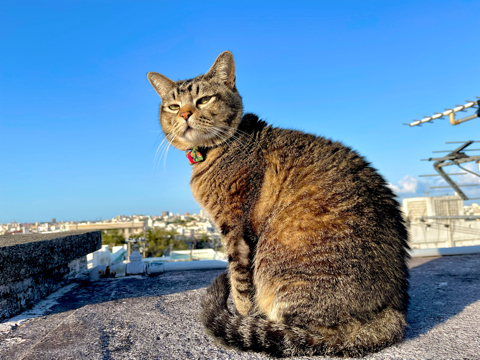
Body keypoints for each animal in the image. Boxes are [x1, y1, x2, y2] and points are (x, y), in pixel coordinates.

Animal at [147, 51, 408, 358]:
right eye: (173, 106)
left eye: (204, 100)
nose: (185, 114)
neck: (213, 153)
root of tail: (394, 310)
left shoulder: (235, 228)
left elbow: (240, 283)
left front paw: (243, 315)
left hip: (278, 259)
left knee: (312, 335)